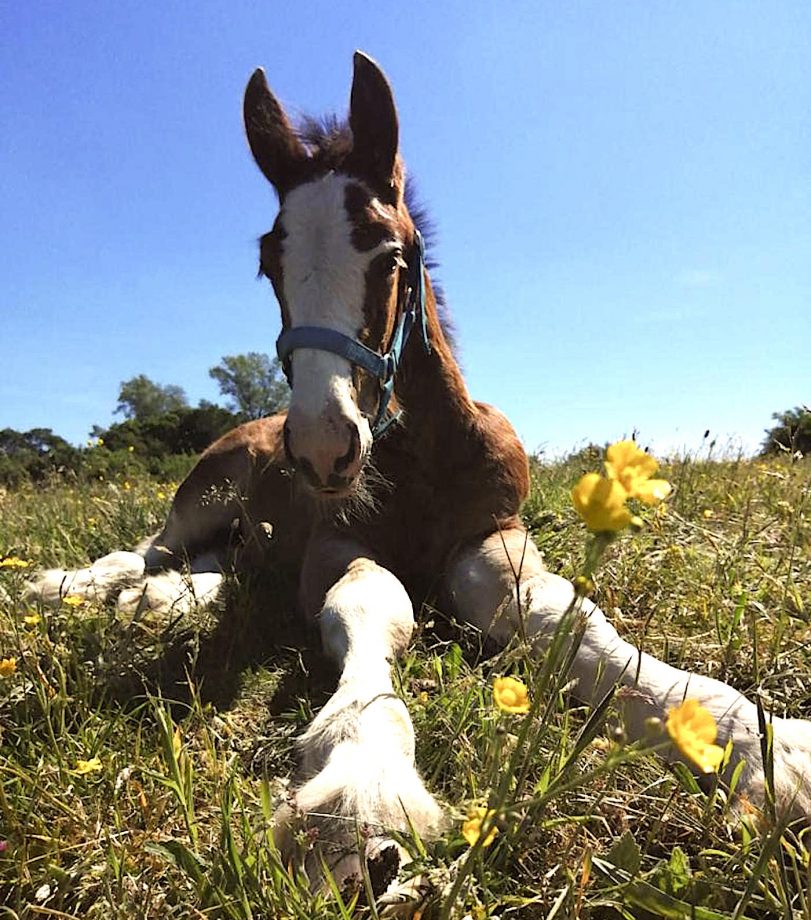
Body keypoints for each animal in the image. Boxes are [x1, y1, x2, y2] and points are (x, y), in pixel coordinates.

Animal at [31, 52, 811, 884]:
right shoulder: (332, 545)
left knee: (217, 568)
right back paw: (76, 588)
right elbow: (373, 602)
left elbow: (558, 613)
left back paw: (164, 602)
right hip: (205, 492)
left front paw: (755, 741)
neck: (421, 454)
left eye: (388, 254)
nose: (322, 444)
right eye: (270, 263)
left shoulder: (494, 533)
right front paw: (360, 782)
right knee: (144, 551)